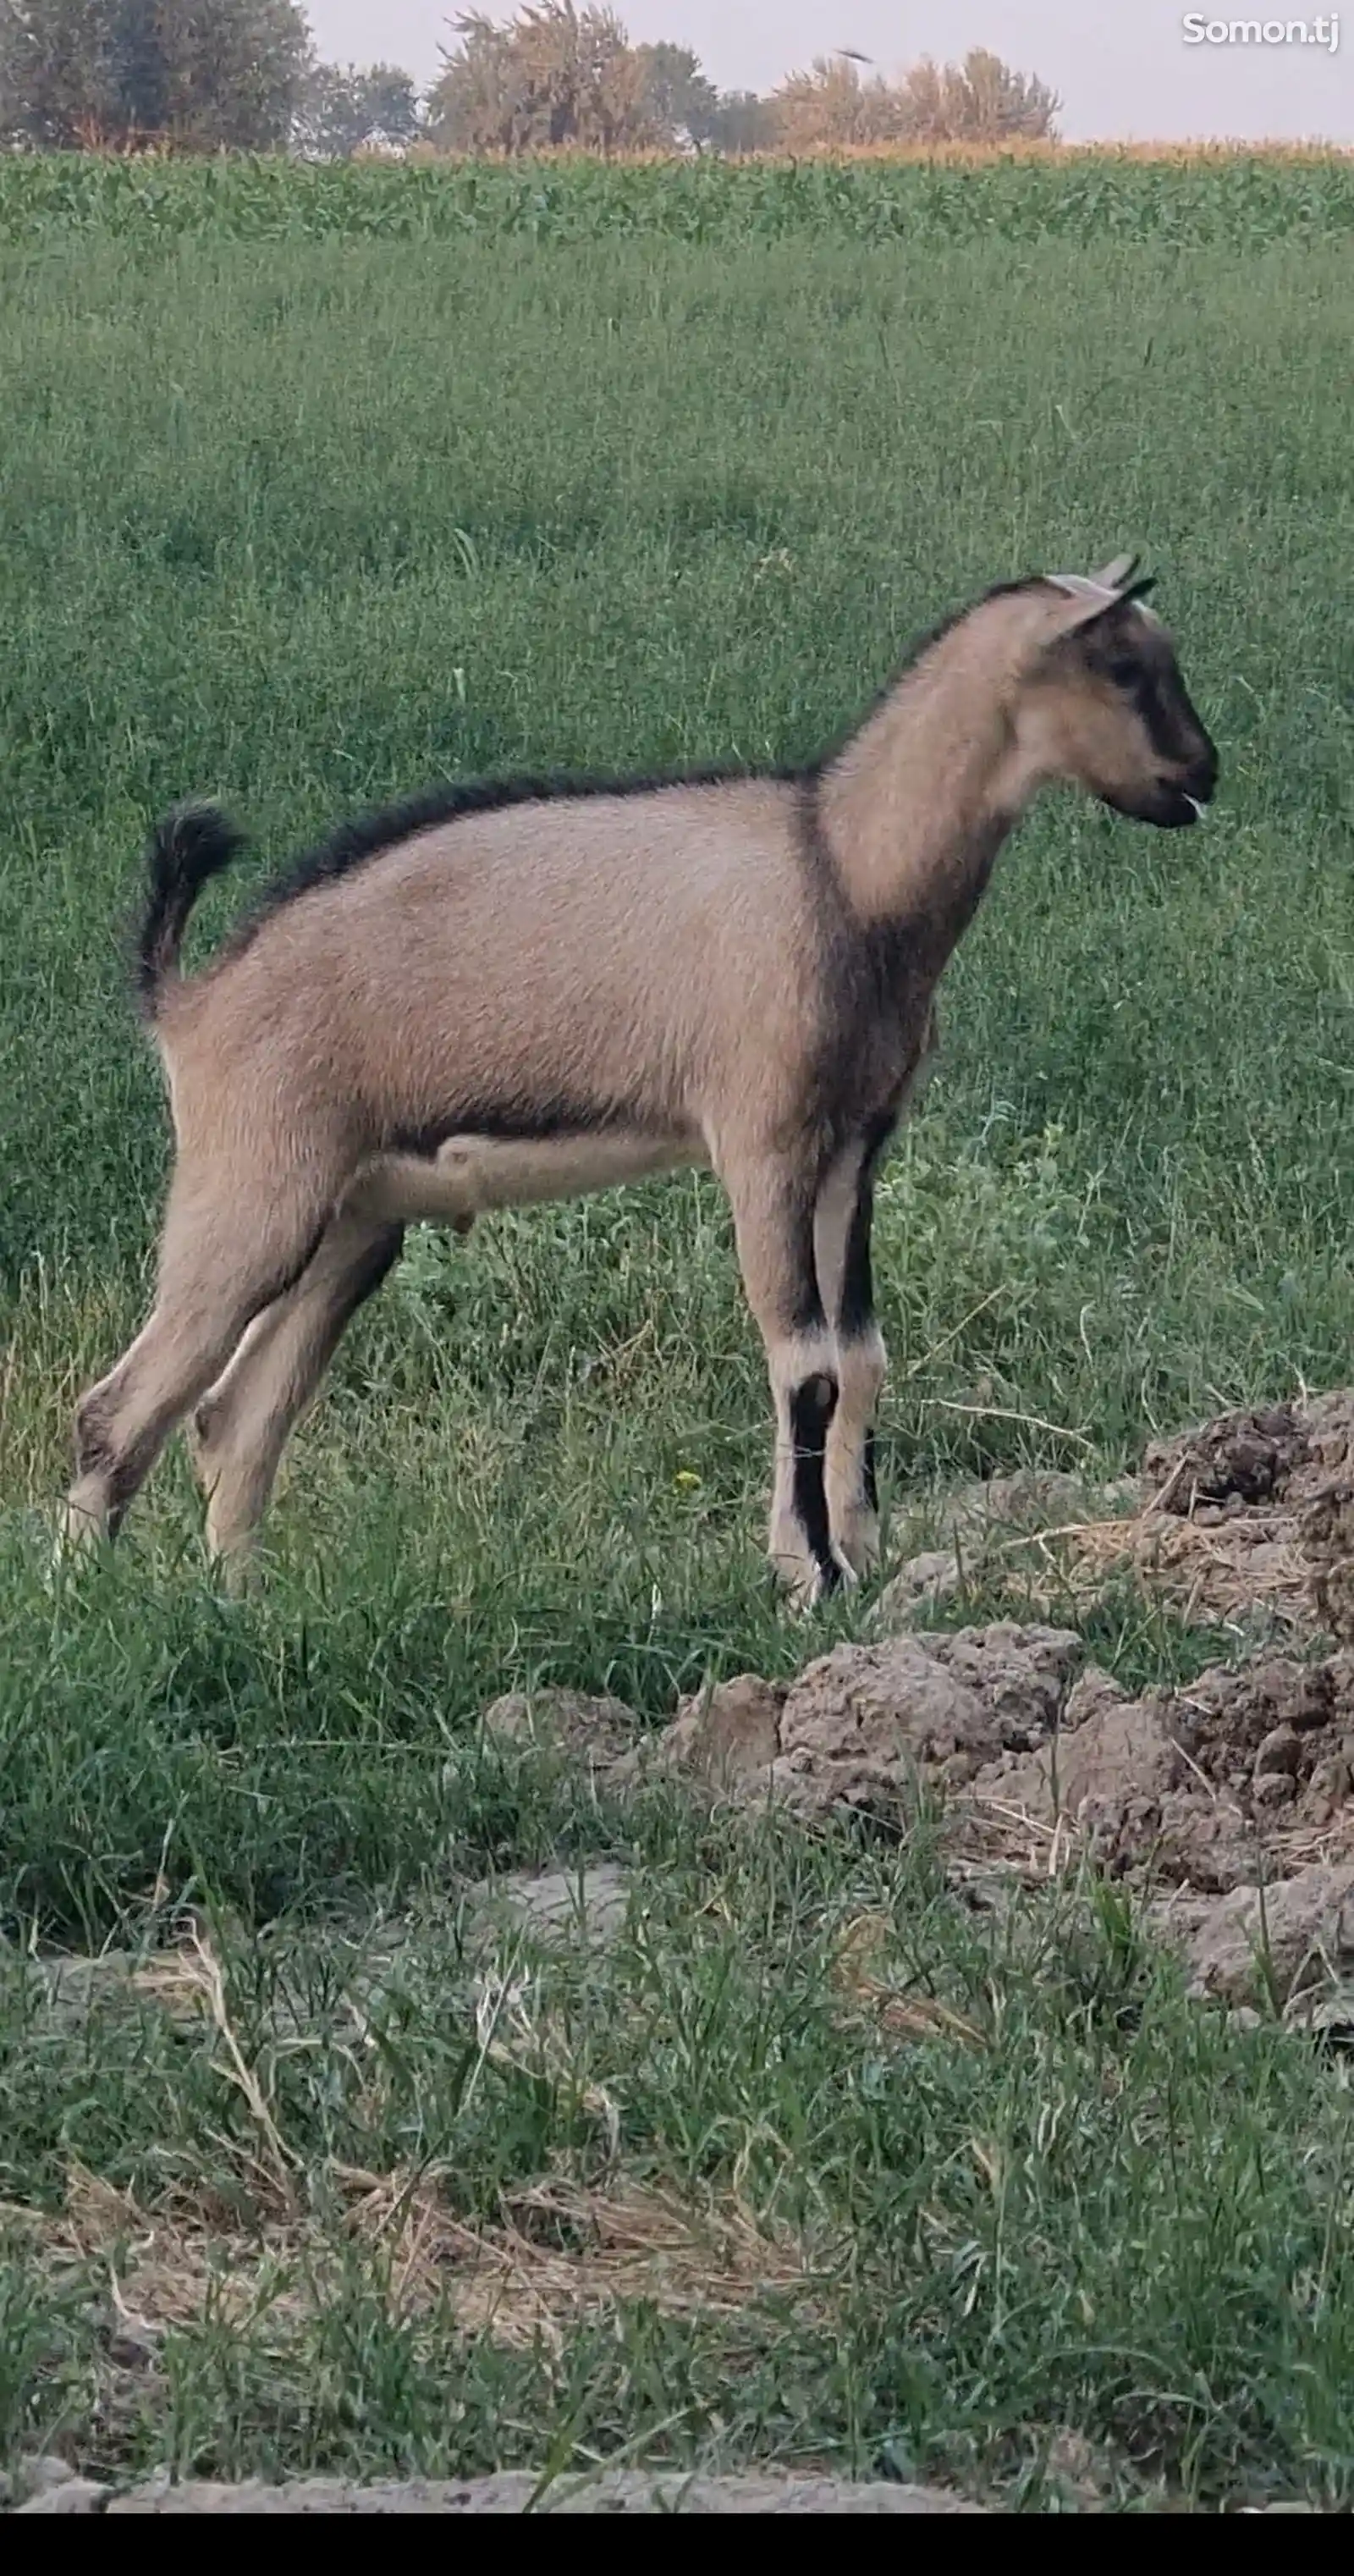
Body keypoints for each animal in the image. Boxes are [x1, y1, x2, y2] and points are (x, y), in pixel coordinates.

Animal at [66, 556, 1219, 1597]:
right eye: (1123, 666)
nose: (1201, 775)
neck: (844, 871)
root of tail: (188, 1002)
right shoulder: (760, 1140)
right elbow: (804, 1364)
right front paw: (809, 1573)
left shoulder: (854, 1145)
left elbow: (862, 1355)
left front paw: (862, 1548)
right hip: (254, 1188)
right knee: (120, 1407)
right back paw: (86, 1606)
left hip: (351, 1218)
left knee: (236, 1416)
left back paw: (243, 1605)